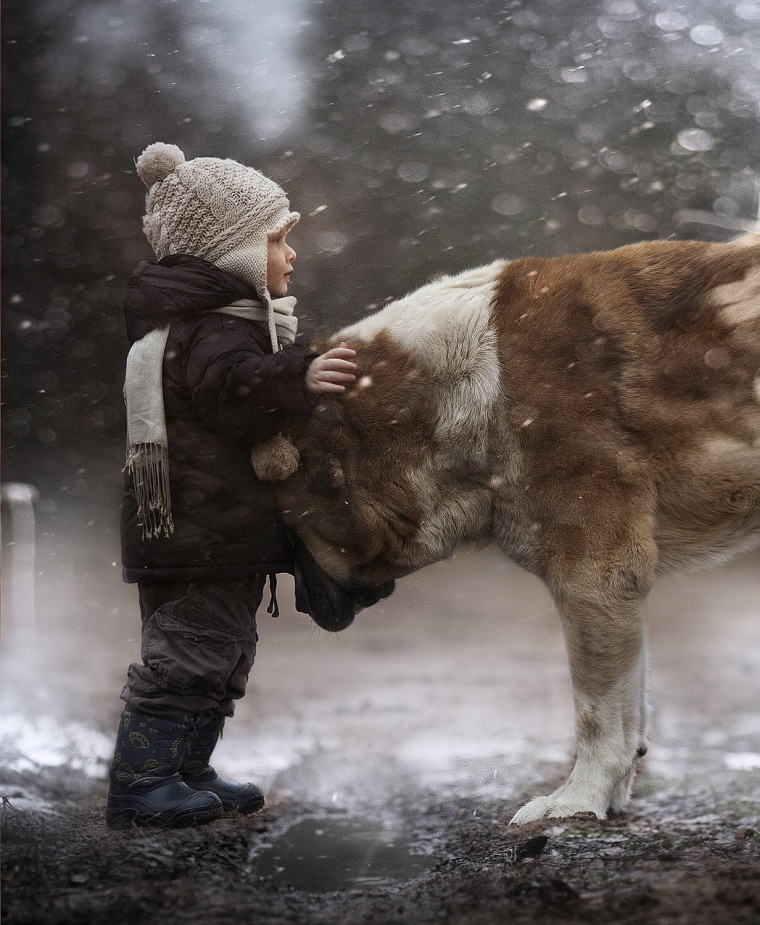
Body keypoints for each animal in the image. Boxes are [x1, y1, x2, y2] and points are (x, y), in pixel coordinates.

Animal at [268, 236, 760, 824]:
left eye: (285, 535)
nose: (298, 606)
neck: (465, 387)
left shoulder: (593, 578)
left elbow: (597, 712)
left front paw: (576, 801)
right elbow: (631, 707)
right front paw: (609, 798)